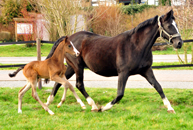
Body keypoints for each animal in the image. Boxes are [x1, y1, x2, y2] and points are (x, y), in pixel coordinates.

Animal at [45, 9, 182, 112]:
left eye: (176, 25)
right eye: (169, 25)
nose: (179, 43)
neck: (136, 46)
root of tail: (67, 39)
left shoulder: (146, 71)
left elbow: (158, 87)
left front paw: (170, 108)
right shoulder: (123, 73)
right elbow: (120, 94)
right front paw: (103, 108)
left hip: (71, 67)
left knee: (60, 82)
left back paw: (49, 103)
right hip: (77, 66)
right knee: (79, 84)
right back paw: (93, 105)